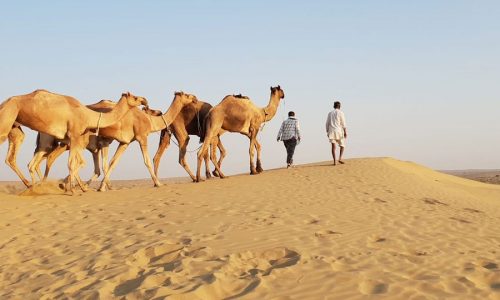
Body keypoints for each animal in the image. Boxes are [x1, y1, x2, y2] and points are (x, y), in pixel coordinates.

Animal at [0, 89, 147, 192]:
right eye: (134, 97)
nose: (144, 100)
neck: (88, 116)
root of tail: (4, 103)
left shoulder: (77, 142)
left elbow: (80, 164)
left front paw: (75, 187)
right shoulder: (76, 137)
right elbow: (75, 163)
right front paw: (73, 189)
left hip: (23, 132)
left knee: (29, 162)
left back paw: (34, 186)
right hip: (9, 119)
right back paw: (37, 185)